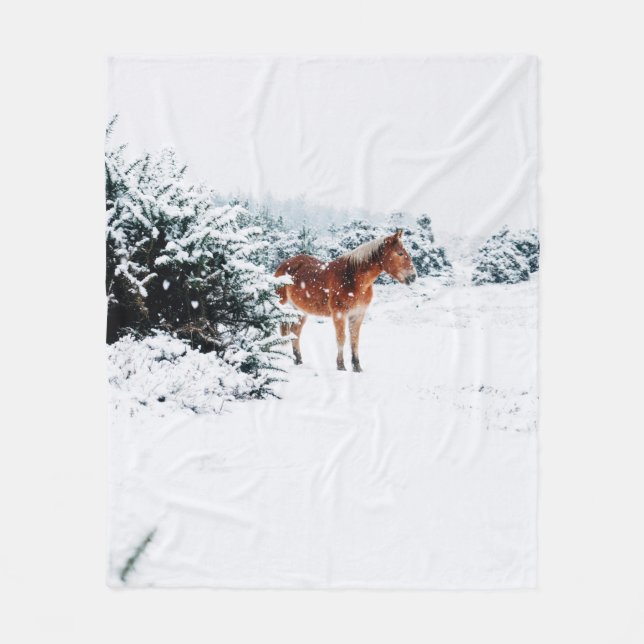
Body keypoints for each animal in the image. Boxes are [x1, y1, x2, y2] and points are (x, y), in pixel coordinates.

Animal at [275, 229, 417, 372]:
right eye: (400, 253)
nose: (413, 276)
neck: (353, 279)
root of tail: (283, 265)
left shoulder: (358, 314)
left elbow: (354, 340)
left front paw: (357, 367)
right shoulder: (339, 313)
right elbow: (341, 338)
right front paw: (341, 366)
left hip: (301, 311)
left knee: (295, 332)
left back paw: (298, 360)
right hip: (281, 306)